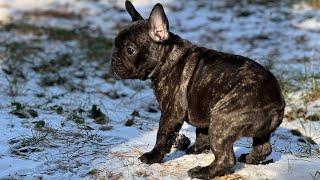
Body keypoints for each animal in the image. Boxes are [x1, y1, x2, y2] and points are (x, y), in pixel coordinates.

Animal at [110, 1, 284, 179]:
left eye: (130, 50)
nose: (113, 58)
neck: (167, 57)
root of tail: (275, 101)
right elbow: (201, 133)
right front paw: (196, 149)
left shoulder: (171, 113)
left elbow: (163, 135)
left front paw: (153, 157)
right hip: (256, 131)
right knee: (264, 148)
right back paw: (249, 158)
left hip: (221, 120)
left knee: (227, 159)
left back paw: (202, 171)